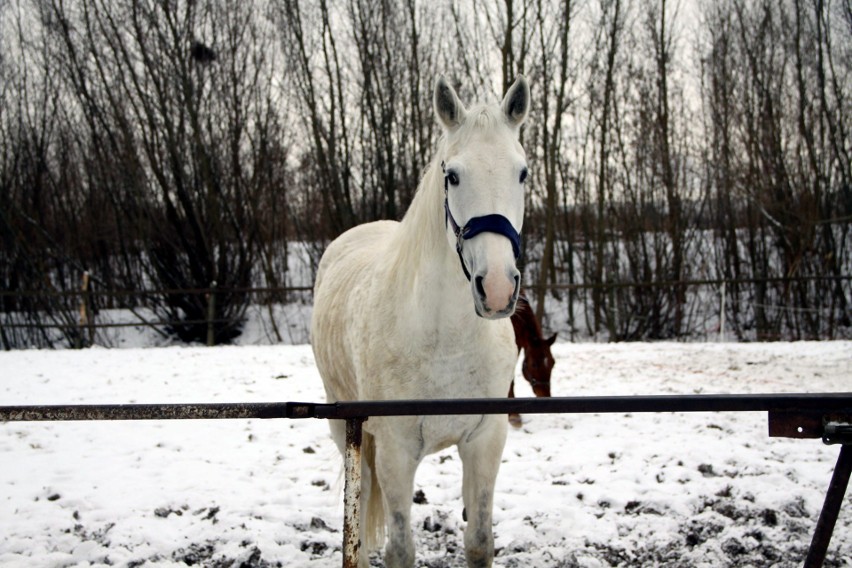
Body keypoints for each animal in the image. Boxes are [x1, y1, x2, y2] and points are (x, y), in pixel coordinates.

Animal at [310, 75, 528, 568]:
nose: (498, 288)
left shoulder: (485, 440)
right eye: (453, 176)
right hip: (346, 432)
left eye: (522, 173)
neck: (446, 342)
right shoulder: (395, 450)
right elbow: (400, 551)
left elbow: (479, 542)